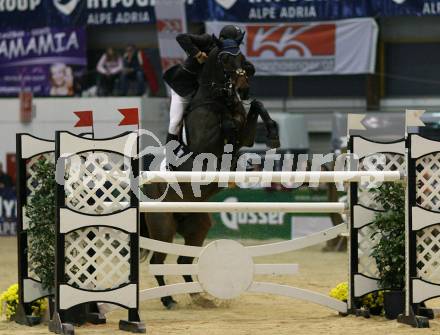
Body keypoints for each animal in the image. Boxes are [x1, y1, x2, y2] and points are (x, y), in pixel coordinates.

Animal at [140, 38, 278, 310]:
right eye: (225, 58)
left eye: (243, 57)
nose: (243, 88)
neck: (217, 100)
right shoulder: (205, 153)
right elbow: (228, 129)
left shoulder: (245, 133)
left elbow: (255, 107)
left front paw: (272, 134)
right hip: (163, 226)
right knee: (157, 261)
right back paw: (169, 300)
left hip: (197, 224)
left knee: (184, 261)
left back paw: (198, 297)